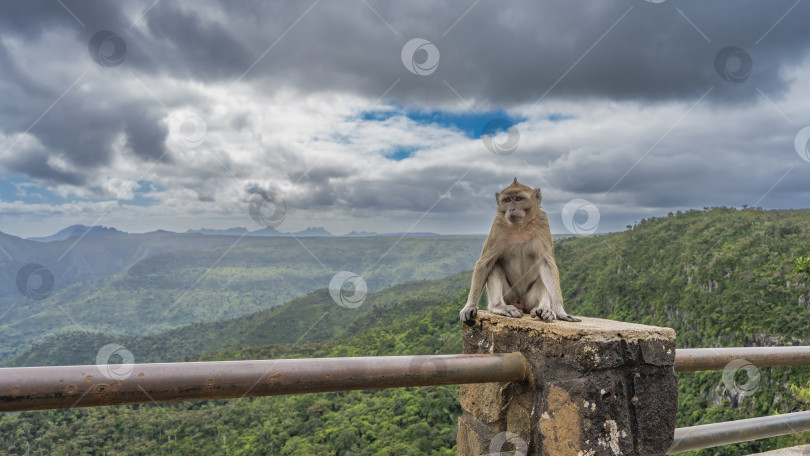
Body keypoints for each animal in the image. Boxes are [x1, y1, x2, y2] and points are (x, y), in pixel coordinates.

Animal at [458, 178, 576, 324]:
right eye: (507, 200)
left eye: (519, 199)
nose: (512, 208)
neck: (520, 226)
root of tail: (520, 302)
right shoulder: (497, 226)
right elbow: (485, 263)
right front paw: (470, 306)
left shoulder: (543, 224)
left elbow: (547, 264)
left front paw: (560, 311)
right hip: (509, 296)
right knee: (495, 265)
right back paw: (499, 306)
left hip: (530, 300)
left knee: (542, 276)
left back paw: (544, 310)